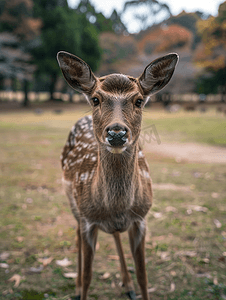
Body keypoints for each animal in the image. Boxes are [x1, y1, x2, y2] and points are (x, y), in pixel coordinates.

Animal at [56, 51, 178, 300]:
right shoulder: (88, 220)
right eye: (95, 99)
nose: (116, 132)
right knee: (77, 233)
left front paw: (134, 284)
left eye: (139, 100)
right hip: (72, 201)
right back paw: (76, 287)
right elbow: (89, 276)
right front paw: (81, 287)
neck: (117, 206)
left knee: (114, 233)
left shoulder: (141, 219)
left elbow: (143, 276)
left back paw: (127, 285)